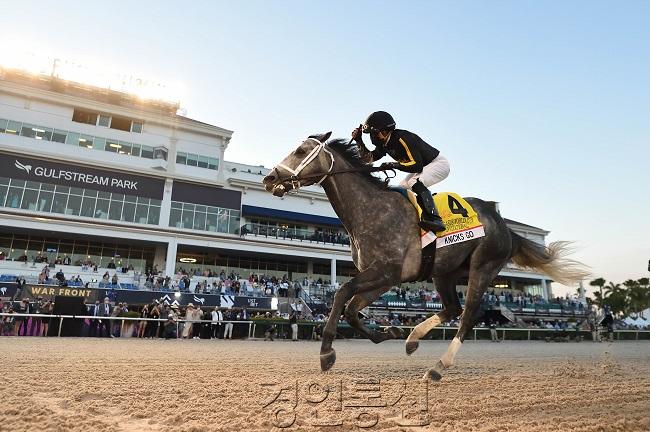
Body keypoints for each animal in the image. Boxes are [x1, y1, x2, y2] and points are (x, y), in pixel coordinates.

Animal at [260, 132, 588, 382]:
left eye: (301, 151)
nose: (269, 178)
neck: (369, 211)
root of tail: (504, 224)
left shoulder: (385, 272)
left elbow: (341, 294)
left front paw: (326, 353)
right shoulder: (385, 277)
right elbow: (351, 309)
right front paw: (390, 330)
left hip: (483, 266)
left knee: (469, 315)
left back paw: (439, 366)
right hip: (445, 272)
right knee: (453, 307)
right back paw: (412, 338)